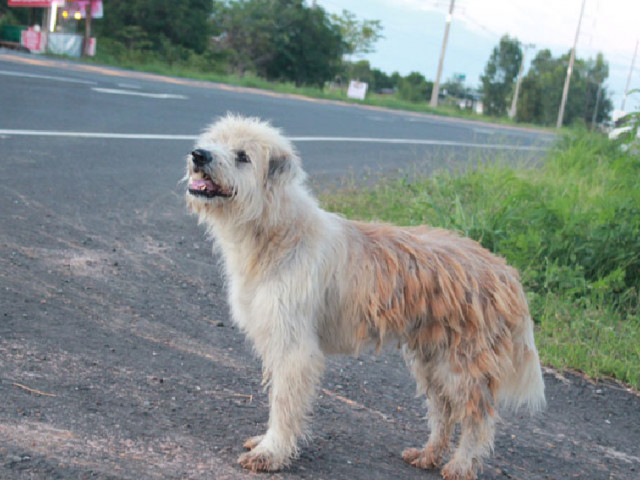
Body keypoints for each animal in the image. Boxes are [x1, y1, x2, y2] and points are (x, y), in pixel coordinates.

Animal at [185, 115, 544, 480]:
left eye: (243, 156)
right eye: (215, 141)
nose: (198, 155)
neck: (276, 230)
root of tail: (505, 272)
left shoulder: (295, 348)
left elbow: (284, 403)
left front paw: (271, 452)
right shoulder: (276, 338)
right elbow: (277, 396)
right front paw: (266, 442)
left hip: (461, 366)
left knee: (476, 418)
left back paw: (460, 465)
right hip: (432, 360)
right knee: (443, 411)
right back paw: (428, 454)